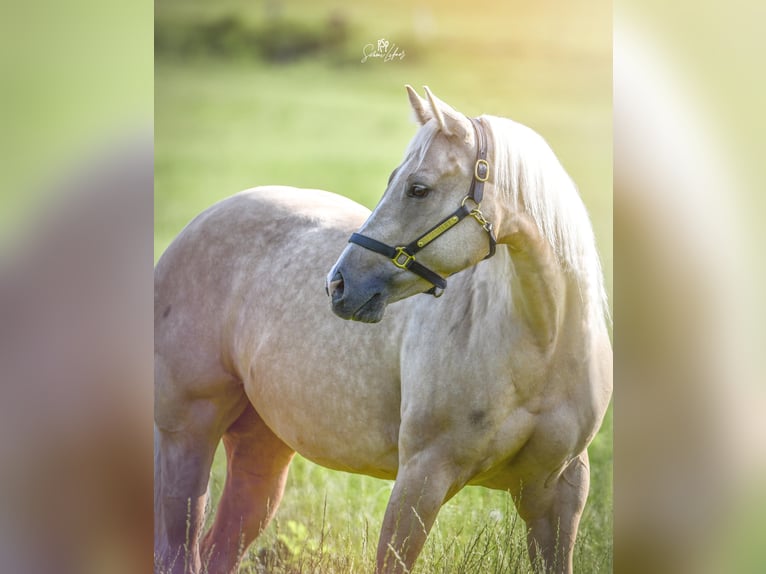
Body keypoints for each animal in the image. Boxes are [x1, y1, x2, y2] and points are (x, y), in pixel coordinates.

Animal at [154, 86, 612, 574]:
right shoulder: (421, 478)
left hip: (261, 448)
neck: (543, 345)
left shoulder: (559, 494)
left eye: (418, 188)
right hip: (187, 436)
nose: (337, 284)